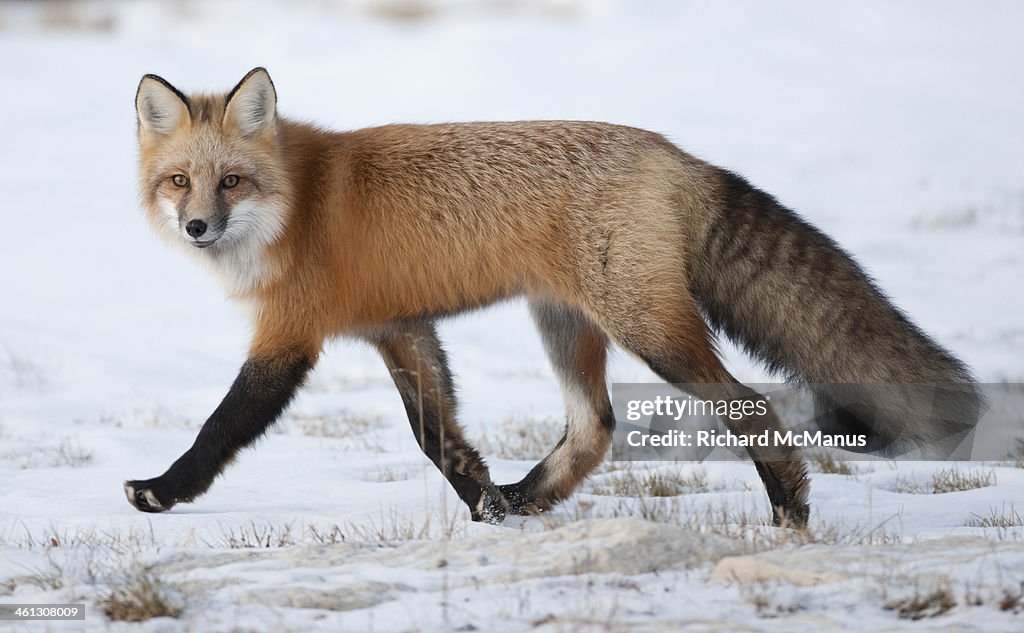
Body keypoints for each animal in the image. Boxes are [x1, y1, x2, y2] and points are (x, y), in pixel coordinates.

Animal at [123, 66, 978, 524]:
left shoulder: (292, 335)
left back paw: (788, 512)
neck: (297, 203)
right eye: (179, 181)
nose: (197, 226)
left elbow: (222, 426)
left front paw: (163, 490)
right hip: (565, 323)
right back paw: (525, 496)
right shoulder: (398, 328)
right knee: (594, 428)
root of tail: (671, 151)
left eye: (232, 181)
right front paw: (485, 506)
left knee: (749, 404)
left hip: (650, 330)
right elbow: (437, 436)